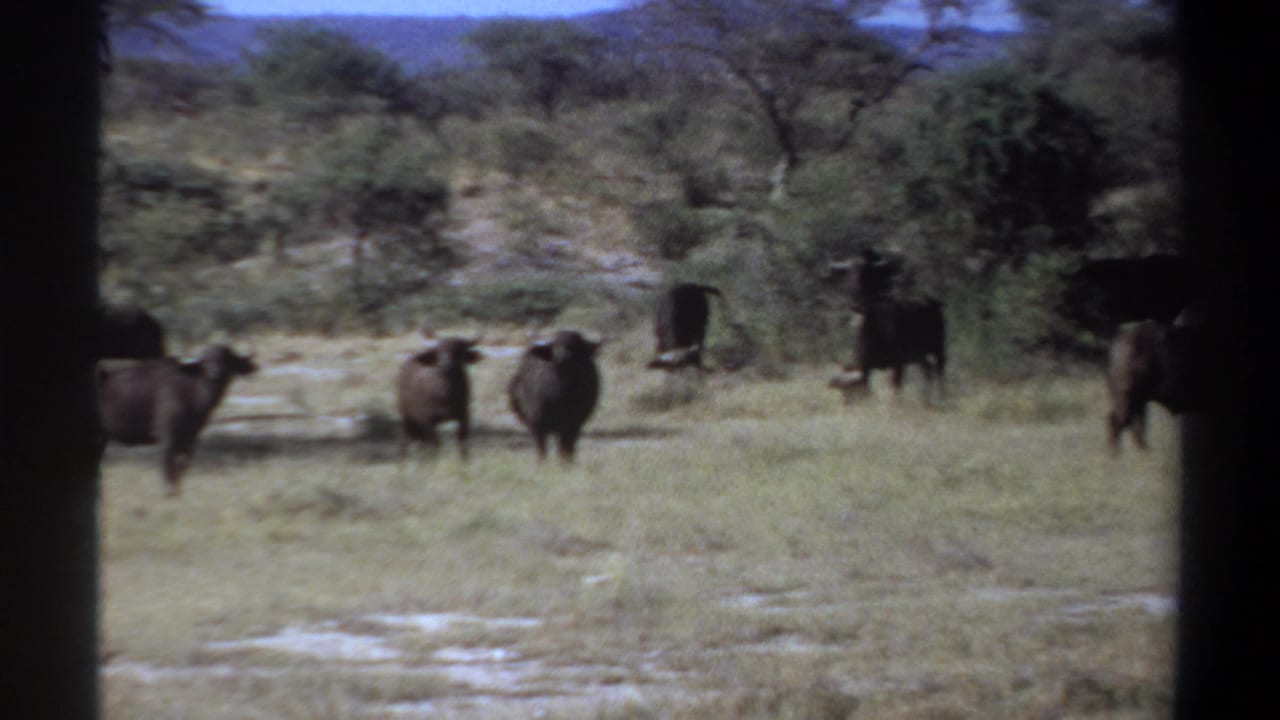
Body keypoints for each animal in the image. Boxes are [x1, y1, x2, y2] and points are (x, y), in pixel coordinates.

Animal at [97, 345, 257, 496]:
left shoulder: (190, 437)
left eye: (227, 359)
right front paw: (168, 491)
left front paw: (177, 489)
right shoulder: (168, 435)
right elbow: (168, 461)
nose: (216, 373)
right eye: (206, 360)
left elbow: (184, 462)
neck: (191, 389)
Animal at [508, 330, 601, 460]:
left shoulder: (573, 424)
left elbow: (566, 448)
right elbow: (542, 449)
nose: (563, 357)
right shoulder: (538, 424)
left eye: (576, 346)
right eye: (555, 345)